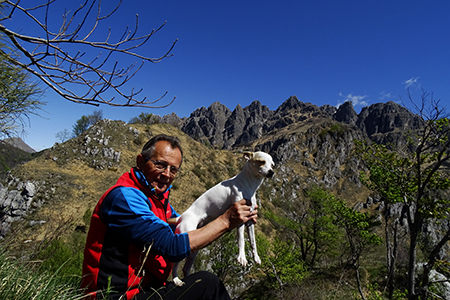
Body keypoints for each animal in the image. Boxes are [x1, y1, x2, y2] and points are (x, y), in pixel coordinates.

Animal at [171, 151, 272, 288]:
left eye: (273, 164)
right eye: (261, 161)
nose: (272, 172)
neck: (249, 185)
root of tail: (180, 217)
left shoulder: (250, 221)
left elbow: (253, 242)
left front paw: (256, 257)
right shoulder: (240, 218)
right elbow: (241, 240)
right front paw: (242, 257)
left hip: (194, 250)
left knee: (185, 268)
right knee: (174, 265)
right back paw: (176, 279)